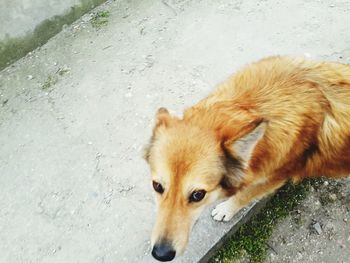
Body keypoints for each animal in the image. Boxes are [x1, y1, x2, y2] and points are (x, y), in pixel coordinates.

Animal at [142, 56, 350, 262]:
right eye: (157, 186)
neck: (251, 106)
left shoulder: (275, 178)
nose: (161, 254)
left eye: (198, 195)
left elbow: (244, 195)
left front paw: (225, 209)